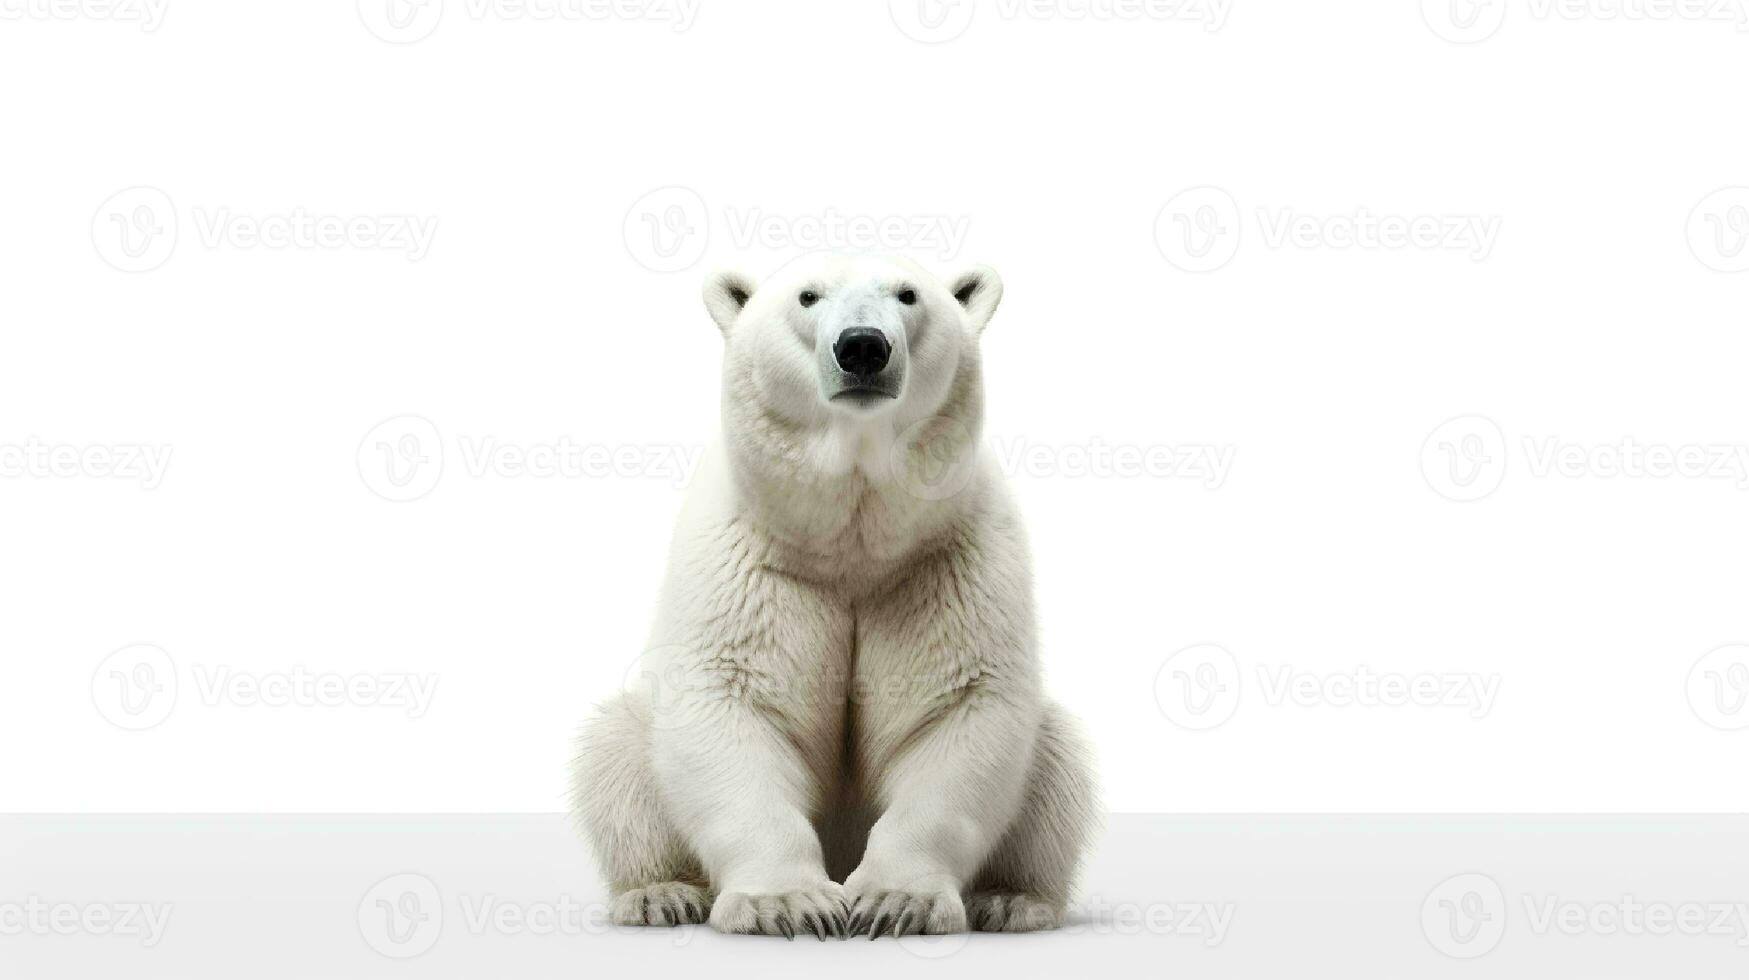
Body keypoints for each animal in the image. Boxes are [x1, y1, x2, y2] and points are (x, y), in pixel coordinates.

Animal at [573, 253, 1091, 945]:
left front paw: (896, 902)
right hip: (637, 743)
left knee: (1060, 768)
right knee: (616, 758)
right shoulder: (750, 567)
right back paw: (661, 894)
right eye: (808, 297)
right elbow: (731, 703)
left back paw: (1011, 901)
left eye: (908, 294)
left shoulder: (947, 564)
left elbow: (959, 707)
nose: (863, 347)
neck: (852, 542)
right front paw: (787, 904)